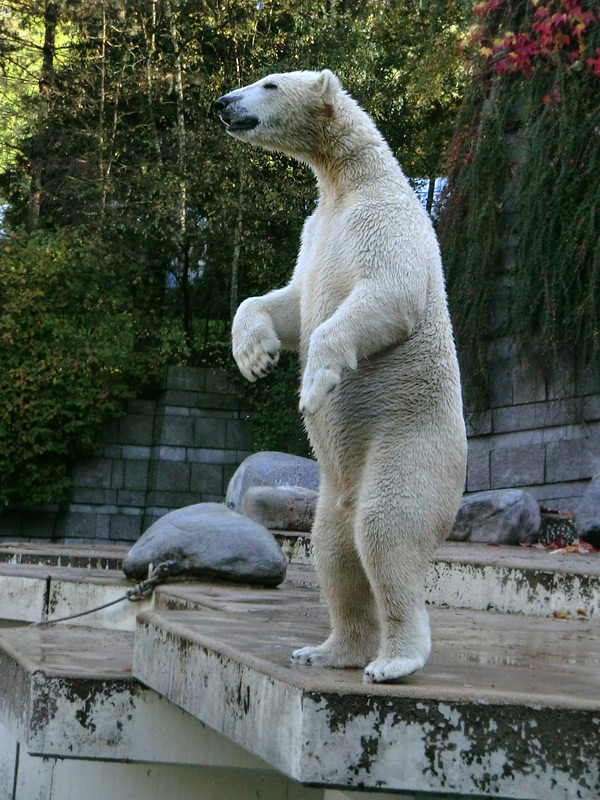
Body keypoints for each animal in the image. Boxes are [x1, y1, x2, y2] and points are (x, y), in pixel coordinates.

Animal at [217, 70, 468, 680]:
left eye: (270, 82)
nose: (222, 102)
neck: (347, 179)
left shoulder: (384, 221)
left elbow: (388, 293)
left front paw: (315, 387)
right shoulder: (316, 233)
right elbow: (288, 303)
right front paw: (255, 356)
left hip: (413, 444)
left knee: (386, 528)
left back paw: (394, 660)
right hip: (332, 486)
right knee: (331, 543)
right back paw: (328, 650)